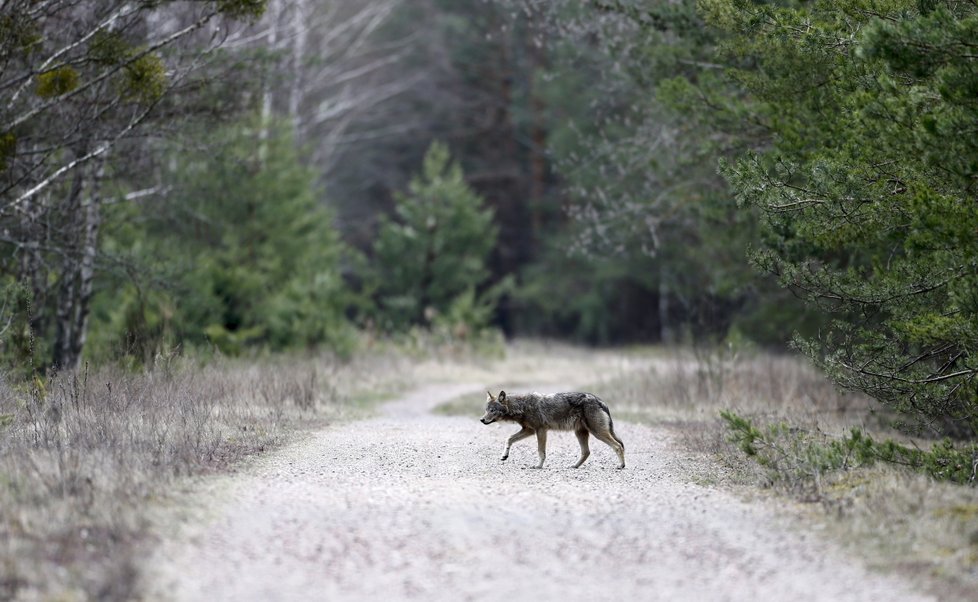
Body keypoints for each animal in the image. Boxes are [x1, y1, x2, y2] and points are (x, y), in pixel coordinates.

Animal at [480, 390, 624, 468]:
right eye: (486, 410)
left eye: (492, 410)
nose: (481, 420)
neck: (522, 406)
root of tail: (600, 401)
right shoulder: (529, 430)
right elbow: (509, 439)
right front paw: (504, 455)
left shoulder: (541, 430)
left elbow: (541, 451)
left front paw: (538, 466)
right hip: (580, 433)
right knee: (586, 452)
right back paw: (574, 466)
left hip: (597, 433)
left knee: (618, 446)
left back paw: (621, 466)